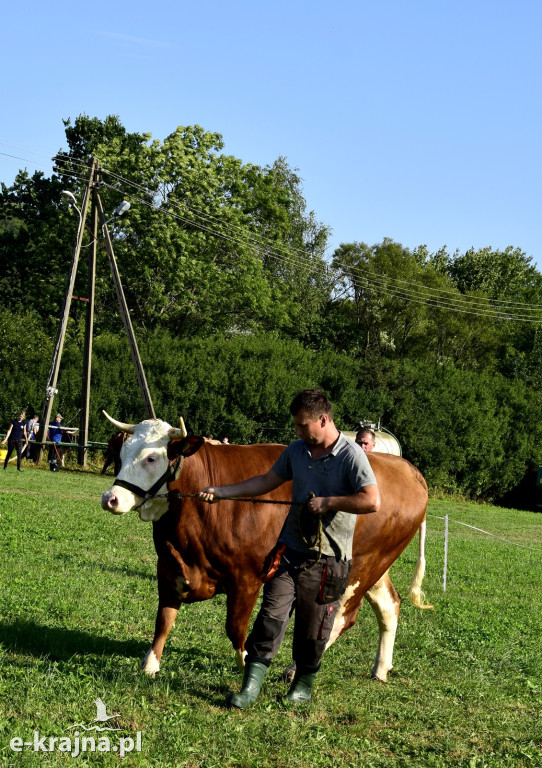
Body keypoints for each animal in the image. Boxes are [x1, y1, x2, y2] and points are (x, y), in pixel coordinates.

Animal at [102, 414, 434, 684]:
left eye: (152, 458)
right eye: (123, 452)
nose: (111, 498)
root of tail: (408, 469)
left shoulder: (246, 578)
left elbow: (235, 628)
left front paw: (246, 663)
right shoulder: (170, 566)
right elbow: (163, 619)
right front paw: (150, 664)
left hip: (361, 569)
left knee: (341, 616)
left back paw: (297, 668)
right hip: (375, 565)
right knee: (389, 605)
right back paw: (381, 669)